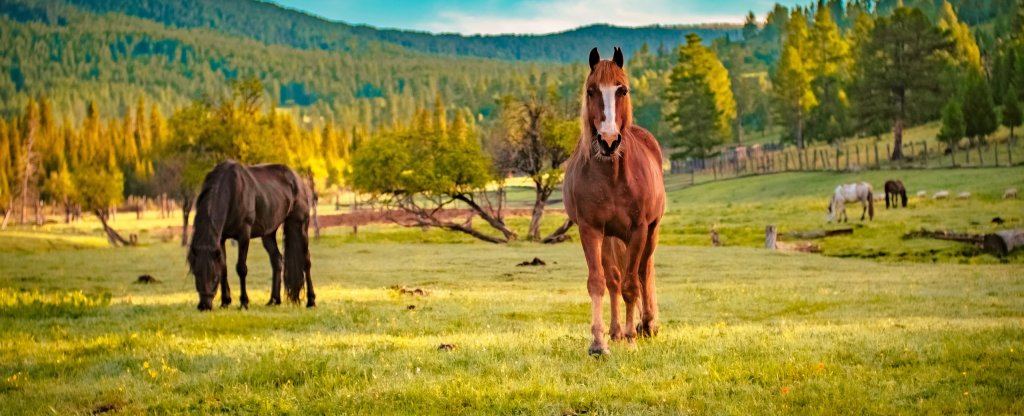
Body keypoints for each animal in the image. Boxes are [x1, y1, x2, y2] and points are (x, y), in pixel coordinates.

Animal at [187, 160, 315, 309]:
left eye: (214, 277)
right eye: (196, 274)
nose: (204, 306)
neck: (232, 190)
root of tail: (297, 179)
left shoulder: (244, 235)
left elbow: (241, 268)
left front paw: (244, 302)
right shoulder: (221, 239)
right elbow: (224, 268)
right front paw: (225, 301)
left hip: (300, 225)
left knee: (306, 261)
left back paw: (311, 300)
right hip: (268, 233)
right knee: (277, 260)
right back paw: (274, 300)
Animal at [561, 47, 663, 356]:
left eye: (623, 90)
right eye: (591, 90)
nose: (608, 141)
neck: (612, 177)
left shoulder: (639, 230)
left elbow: (632, 285)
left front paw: (631, 338)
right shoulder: (591, 230)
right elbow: (599, 283)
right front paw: (599, 343)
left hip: (650, 233)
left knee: (643, 272)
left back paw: (646, 325)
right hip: (610, 237)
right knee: (614, 279)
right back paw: (617, 331)